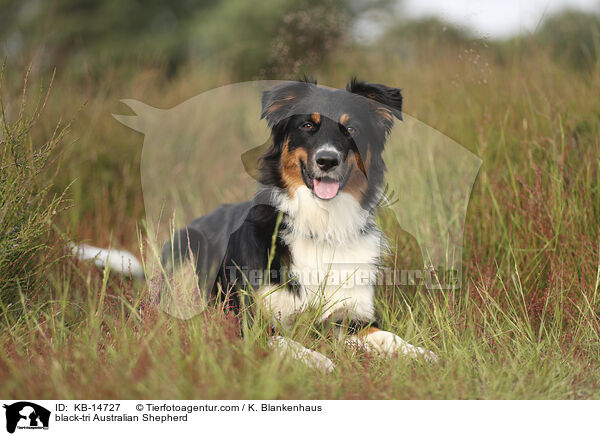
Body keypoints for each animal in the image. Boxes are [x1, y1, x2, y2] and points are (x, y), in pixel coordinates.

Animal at [163, 78, 436, 372]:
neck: (322, 224)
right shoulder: (246, 321)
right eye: (307, 125)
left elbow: (387, 337)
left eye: (351, 129)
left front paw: (419, 353)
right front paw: (316, 359)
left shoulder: (351, 318)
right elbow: (283, 341)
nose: (327, 161)